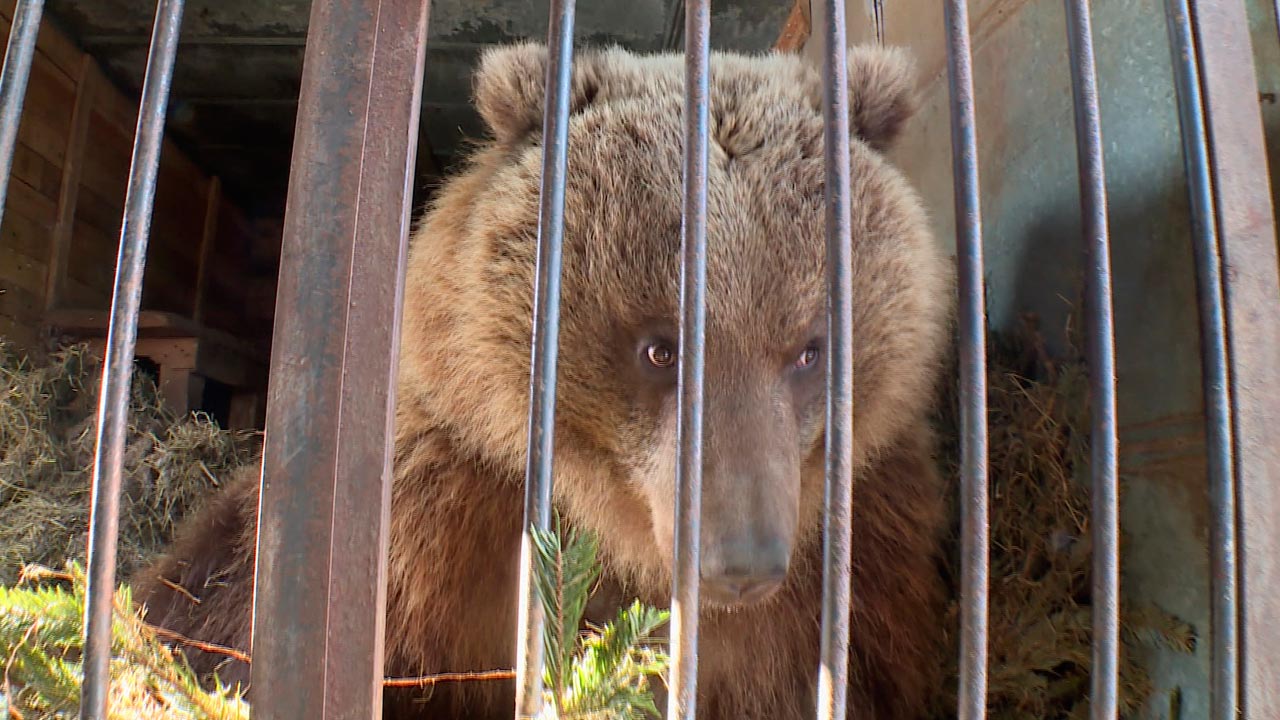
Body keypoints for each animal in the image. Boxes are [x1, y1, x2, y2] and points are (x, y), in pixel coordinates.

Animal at [135, 40, 957, 717]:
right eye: (659, 349)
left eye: (810, 350)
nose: (742, 562)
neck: (620, 542)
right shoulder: (434, 528)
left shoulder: (856, 574)